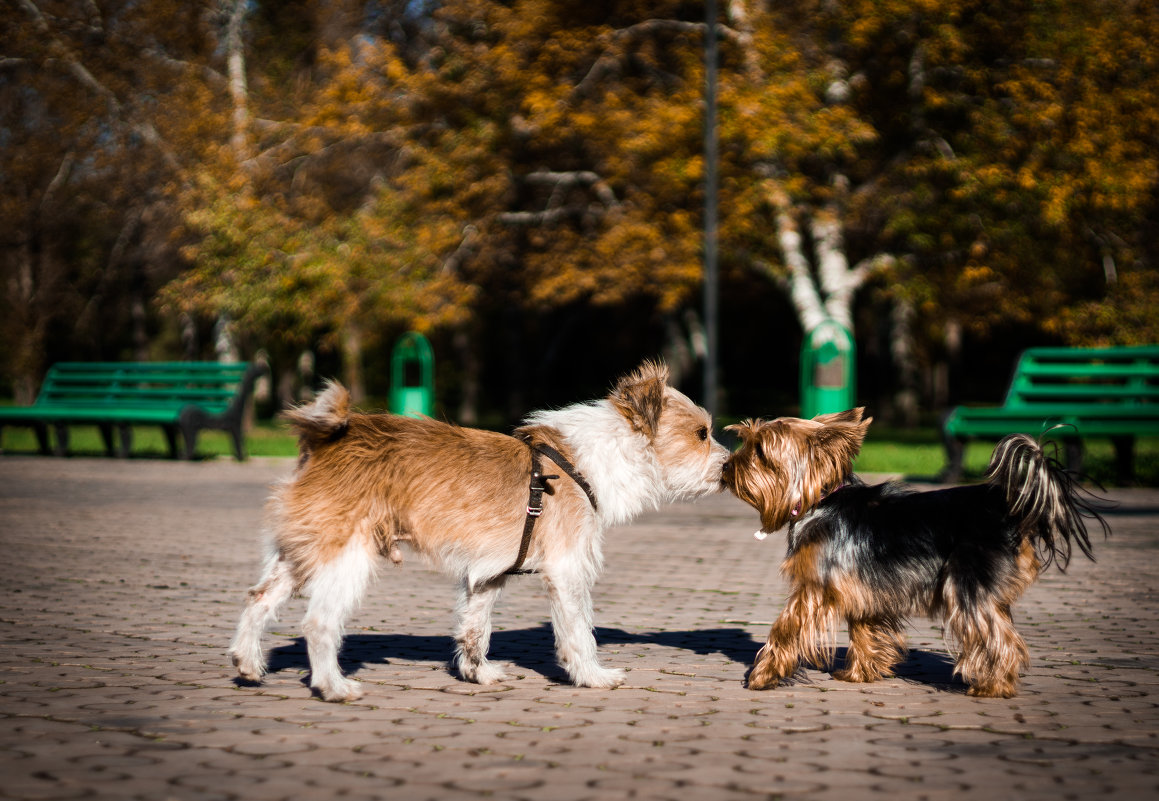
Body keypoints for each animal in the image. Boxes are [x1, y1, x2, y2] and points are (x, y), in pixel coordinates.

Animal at [226, 363, 723, 700]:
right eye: (701, 433)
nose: (727, 468)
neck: (589, 460)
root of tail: (327, 438)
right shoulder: (568, 570)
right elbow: (579, 630)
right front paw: (593, 676)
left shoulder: (488, 577)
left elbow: (474, 628)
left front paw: (476, 673)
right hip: (346, 557)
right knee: (318, 623)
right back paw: (333, 686)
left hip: (300, 553)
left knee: (258, 600)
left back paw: (248, 664)